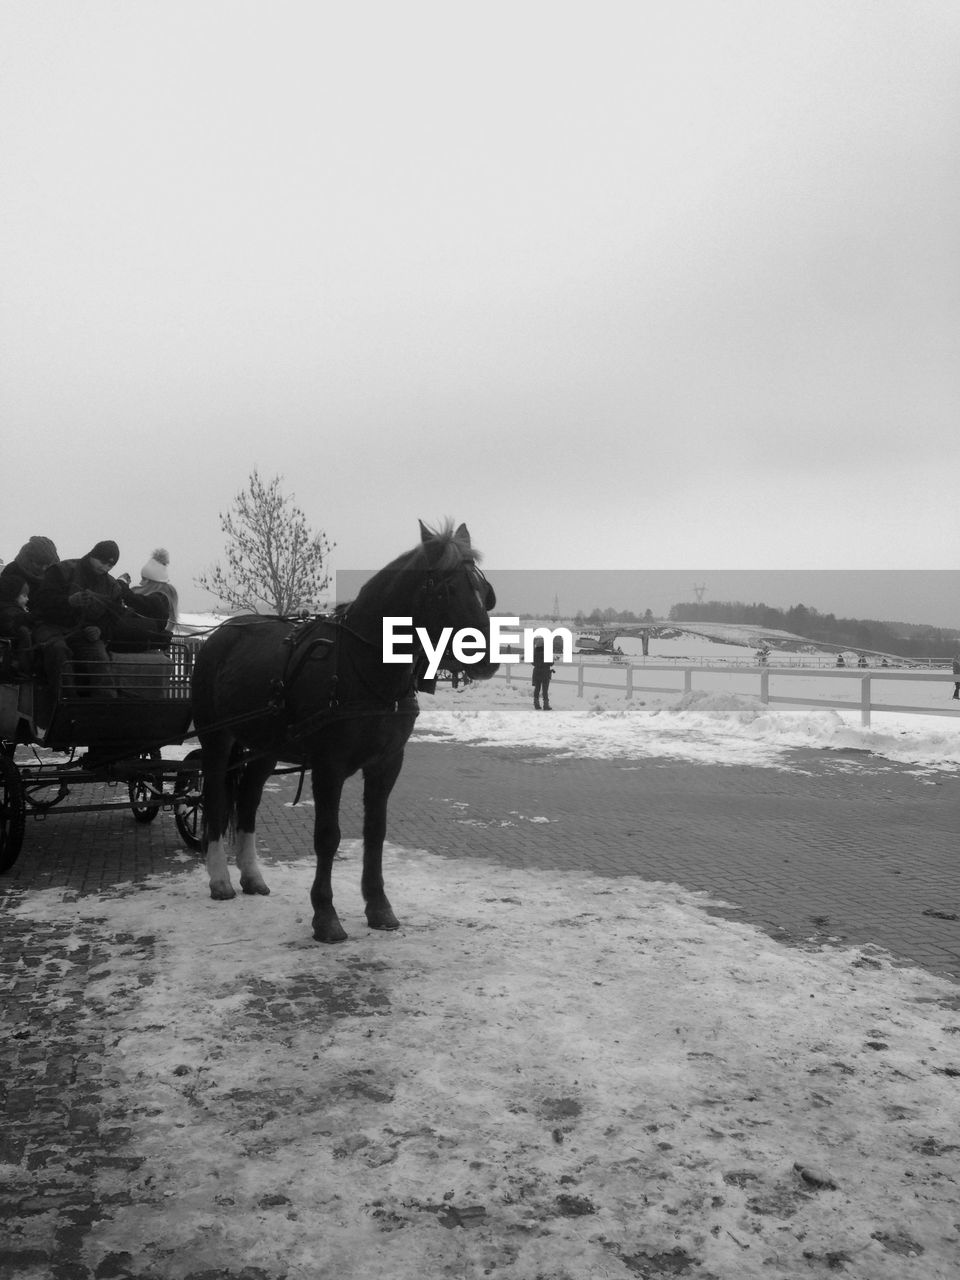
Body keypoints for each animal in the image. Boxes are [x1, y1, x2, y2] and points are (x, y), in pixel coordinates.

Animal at [190, 519, 499, 942]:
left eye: (483, 592)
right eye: (446, 588)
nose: (487, 660)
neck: (363, 668)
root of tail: (221, 633)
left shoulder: (387, 763)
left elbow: (375, 832)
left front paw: (379, 906)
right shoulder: (328, 765)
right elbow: (327, 835)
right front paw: (325, 915)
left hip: (266, 747)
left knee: (249, 800)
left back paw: (251, 876)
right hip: (217, 739)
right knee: (217, 799)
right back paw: (220, 878)